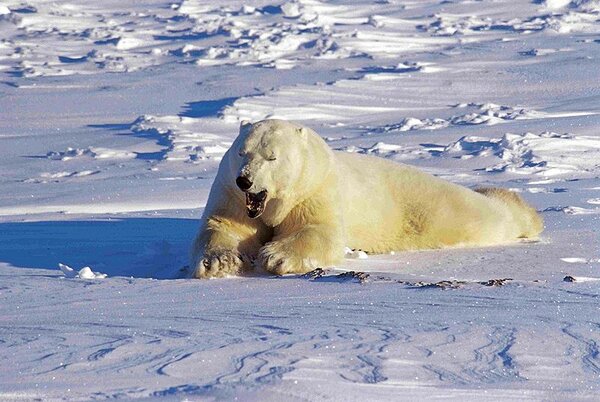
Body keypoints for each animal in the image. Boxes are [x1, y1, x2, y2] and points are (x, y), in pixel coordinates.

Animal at [192, 118, 544, 278]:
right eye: (242, 152)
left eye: (272, 157)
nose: (245, 180)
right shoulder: (230, 192)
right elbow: (224, 226)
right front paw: (220, 262)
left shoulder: (317, 187)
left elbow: (319, 230)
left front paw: (275, 256)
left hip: (435, 208)